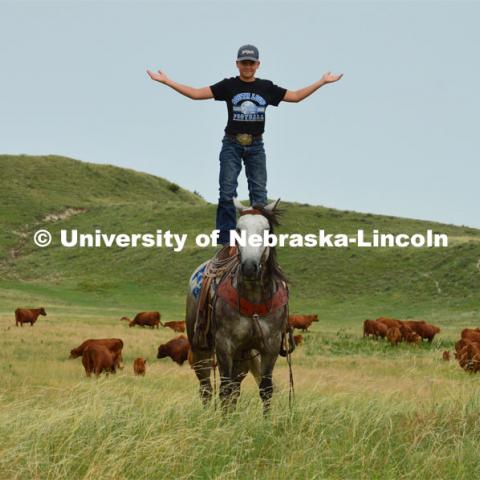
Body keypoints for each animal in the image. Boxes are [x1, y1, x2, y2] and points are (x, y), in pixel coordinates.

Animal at [185, 197, 290, 414]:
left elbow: (265, 389)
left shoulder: (271, 345)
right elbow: (224, 389)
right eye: (239, 230)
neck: (254, 296)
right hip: (200, 348)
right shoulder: (225, 344)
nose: (249, 267)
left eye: (266, 230)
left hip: (244, 355)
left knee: (235, 388)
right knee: (207, 388)